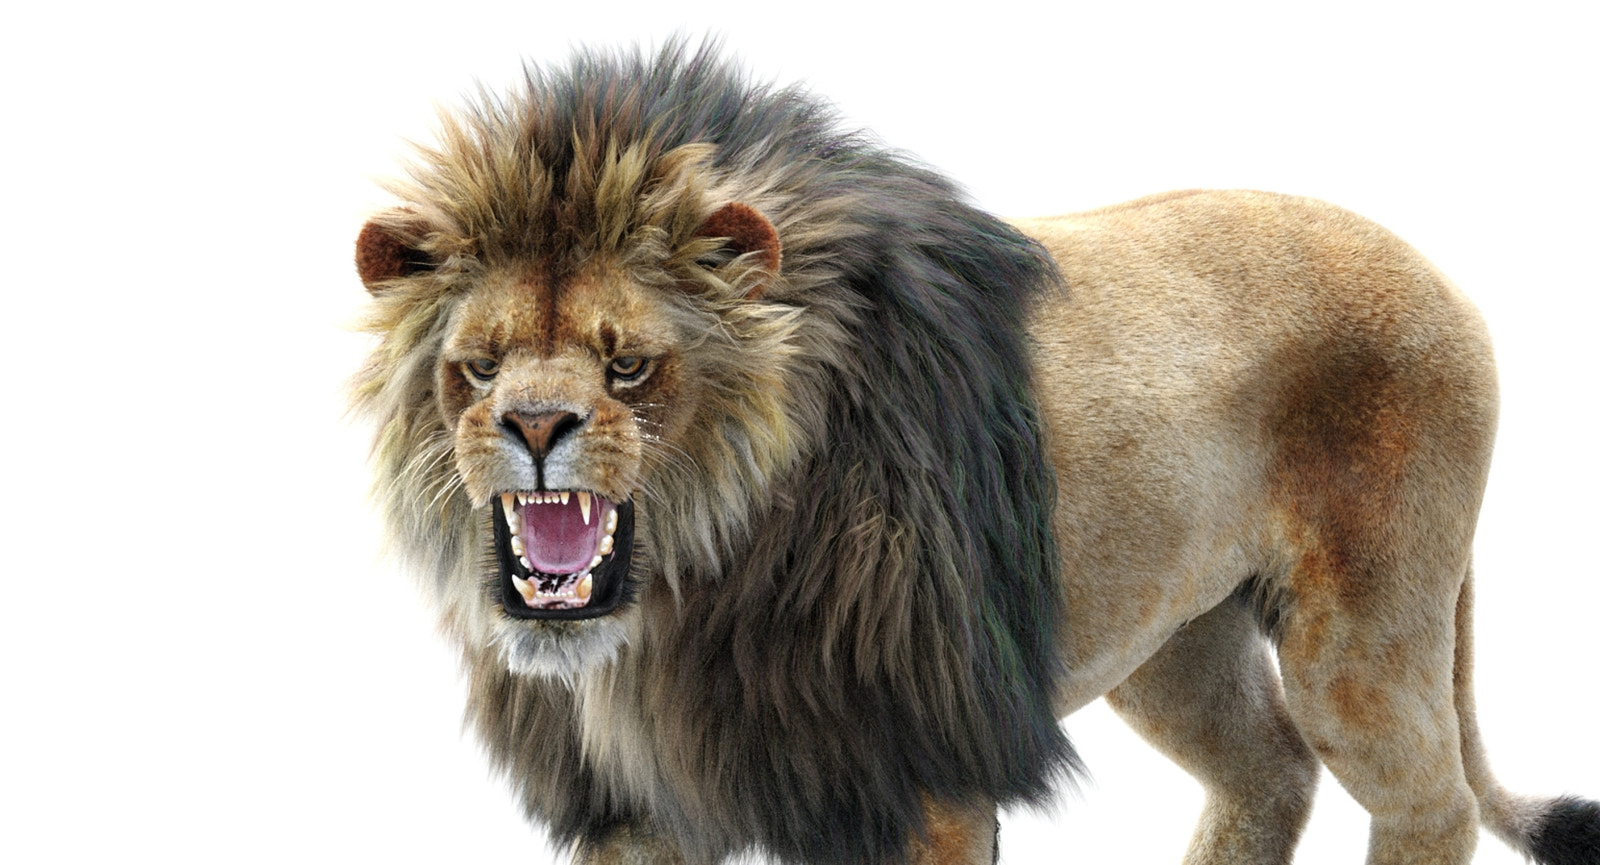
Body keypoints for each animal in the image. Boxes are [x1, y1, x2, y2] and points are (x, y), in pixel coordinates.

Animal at [351, 42, 1600, 865]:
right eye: (478, 366)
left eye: (627, 366)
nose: (532, 429)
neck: (688, 599)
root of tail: (1444, 276)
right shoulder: (639, 802)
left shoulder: (923, 774)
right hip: (1175, 639)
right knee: (1271, 769)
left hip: (1361, 629)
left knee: (1428, 801)